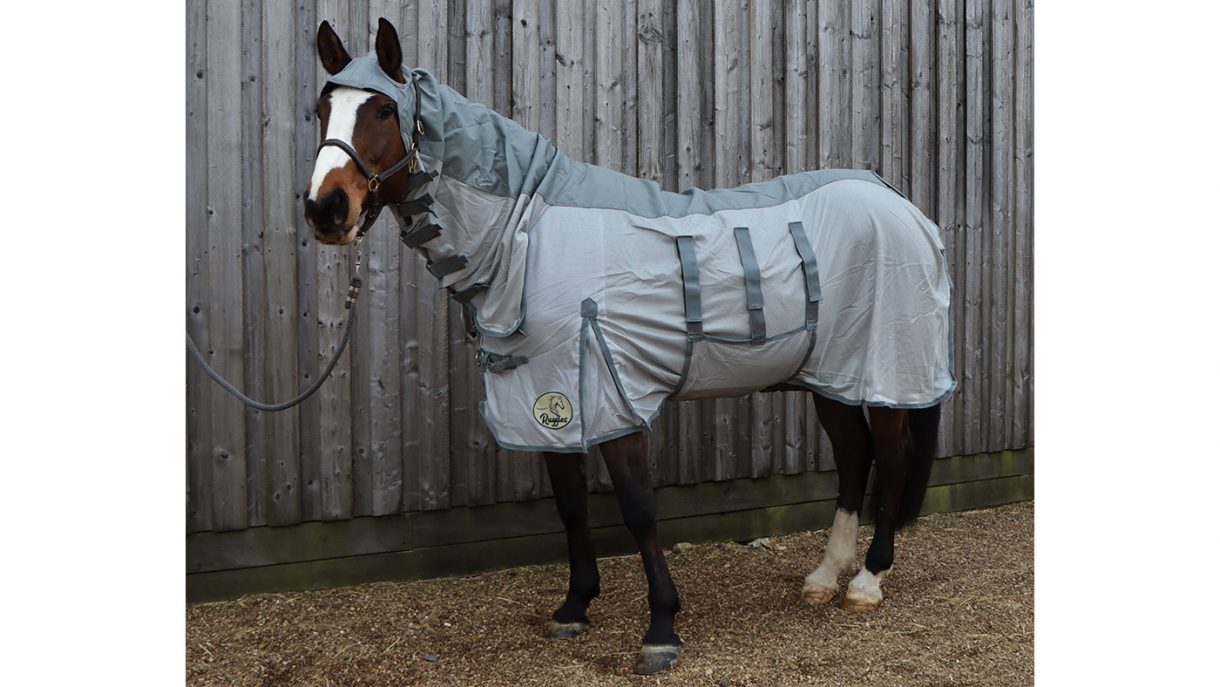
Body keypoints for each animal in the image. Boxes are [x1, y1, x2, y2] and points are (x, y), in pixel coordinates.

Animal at [303, 18, 955, 676]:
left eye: (385, 109)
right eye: (321, 109)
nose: (325, 209)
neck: (529, 238)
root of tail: (899, 203)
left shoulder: (614, 394)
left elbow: (639, 509)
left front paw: (661, 628)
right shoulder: (548, 400)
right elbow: (571, 505)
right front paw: (574, 608)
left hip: (887, 367)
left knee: (890, 458)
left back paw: (868, 580)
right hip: (833, 376)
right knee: (854, 457)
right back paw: (825, 577)